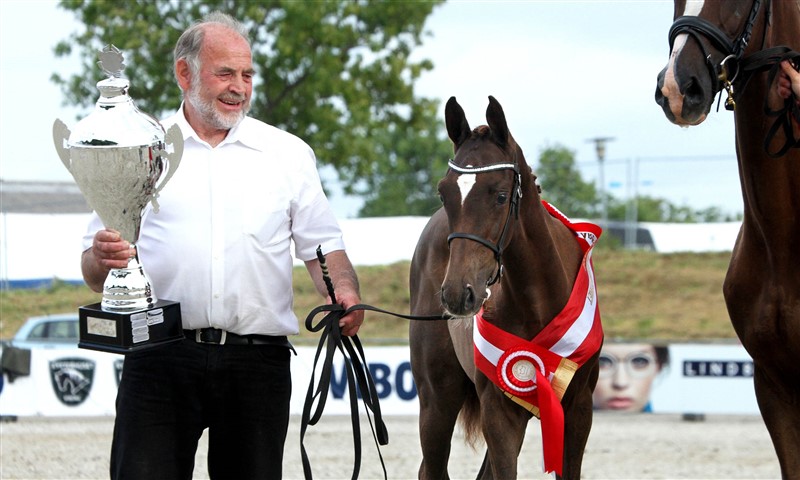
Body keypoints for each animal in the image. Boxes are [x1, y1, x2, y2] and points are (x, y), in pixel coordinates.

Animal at [412, 95, 600, 478]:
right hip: (436, 401)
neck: (540, 302)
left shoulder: (579, 410)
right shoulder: (499, 414)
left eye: (500, 195)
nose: (457, 294)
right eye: (443, 193)